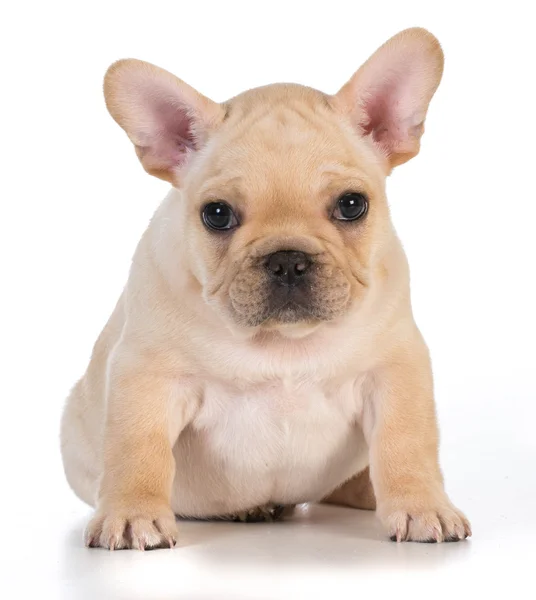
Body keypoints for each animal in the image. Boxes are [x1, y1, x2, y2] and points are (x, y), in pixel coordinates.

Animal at [62, 30, 472, 552]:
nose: (287, 260)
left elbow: (408, 443)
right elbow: (137, 447)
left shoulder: (396, 369)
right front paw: (133, 513)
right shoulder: (147, 376)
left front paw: (422, 505)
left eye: (352, 205)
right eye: (216, 214)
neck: (283, 343)